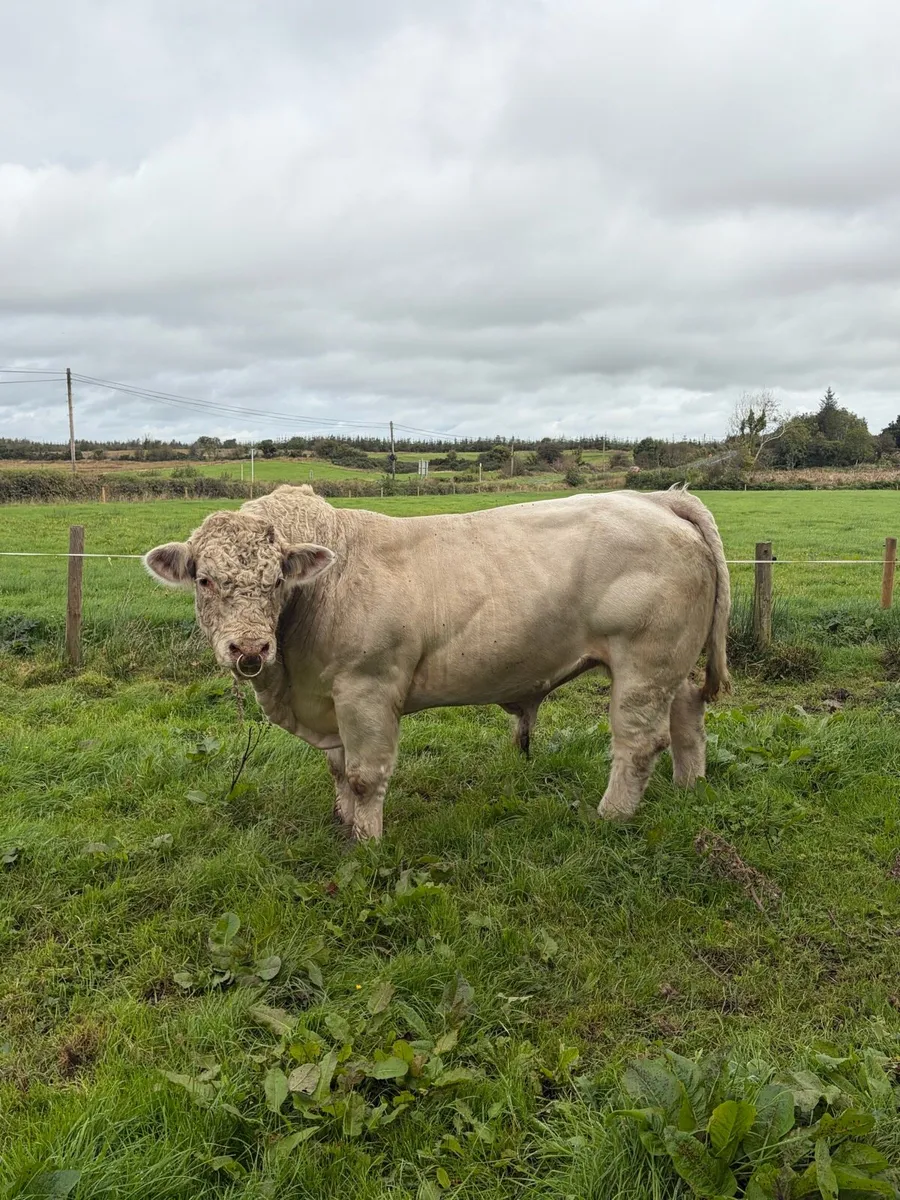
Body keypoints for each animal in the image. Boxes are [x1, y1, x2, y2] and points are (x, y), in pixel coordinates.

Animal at [144, 485, 730, 841]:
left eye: (275, 580)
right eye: (204, 580)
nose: (249, 650)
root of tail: (656, 498)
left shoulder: (368, 689)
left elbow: (364, 776)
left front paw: (365, 843)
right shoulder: (330, 702)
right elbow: (338, 771)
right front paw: (343, 822)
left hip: (643, 661)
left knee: (638, 743)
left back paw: (608, 818)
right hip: (669, 663)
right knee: (687, 714)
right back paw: (689, 787)